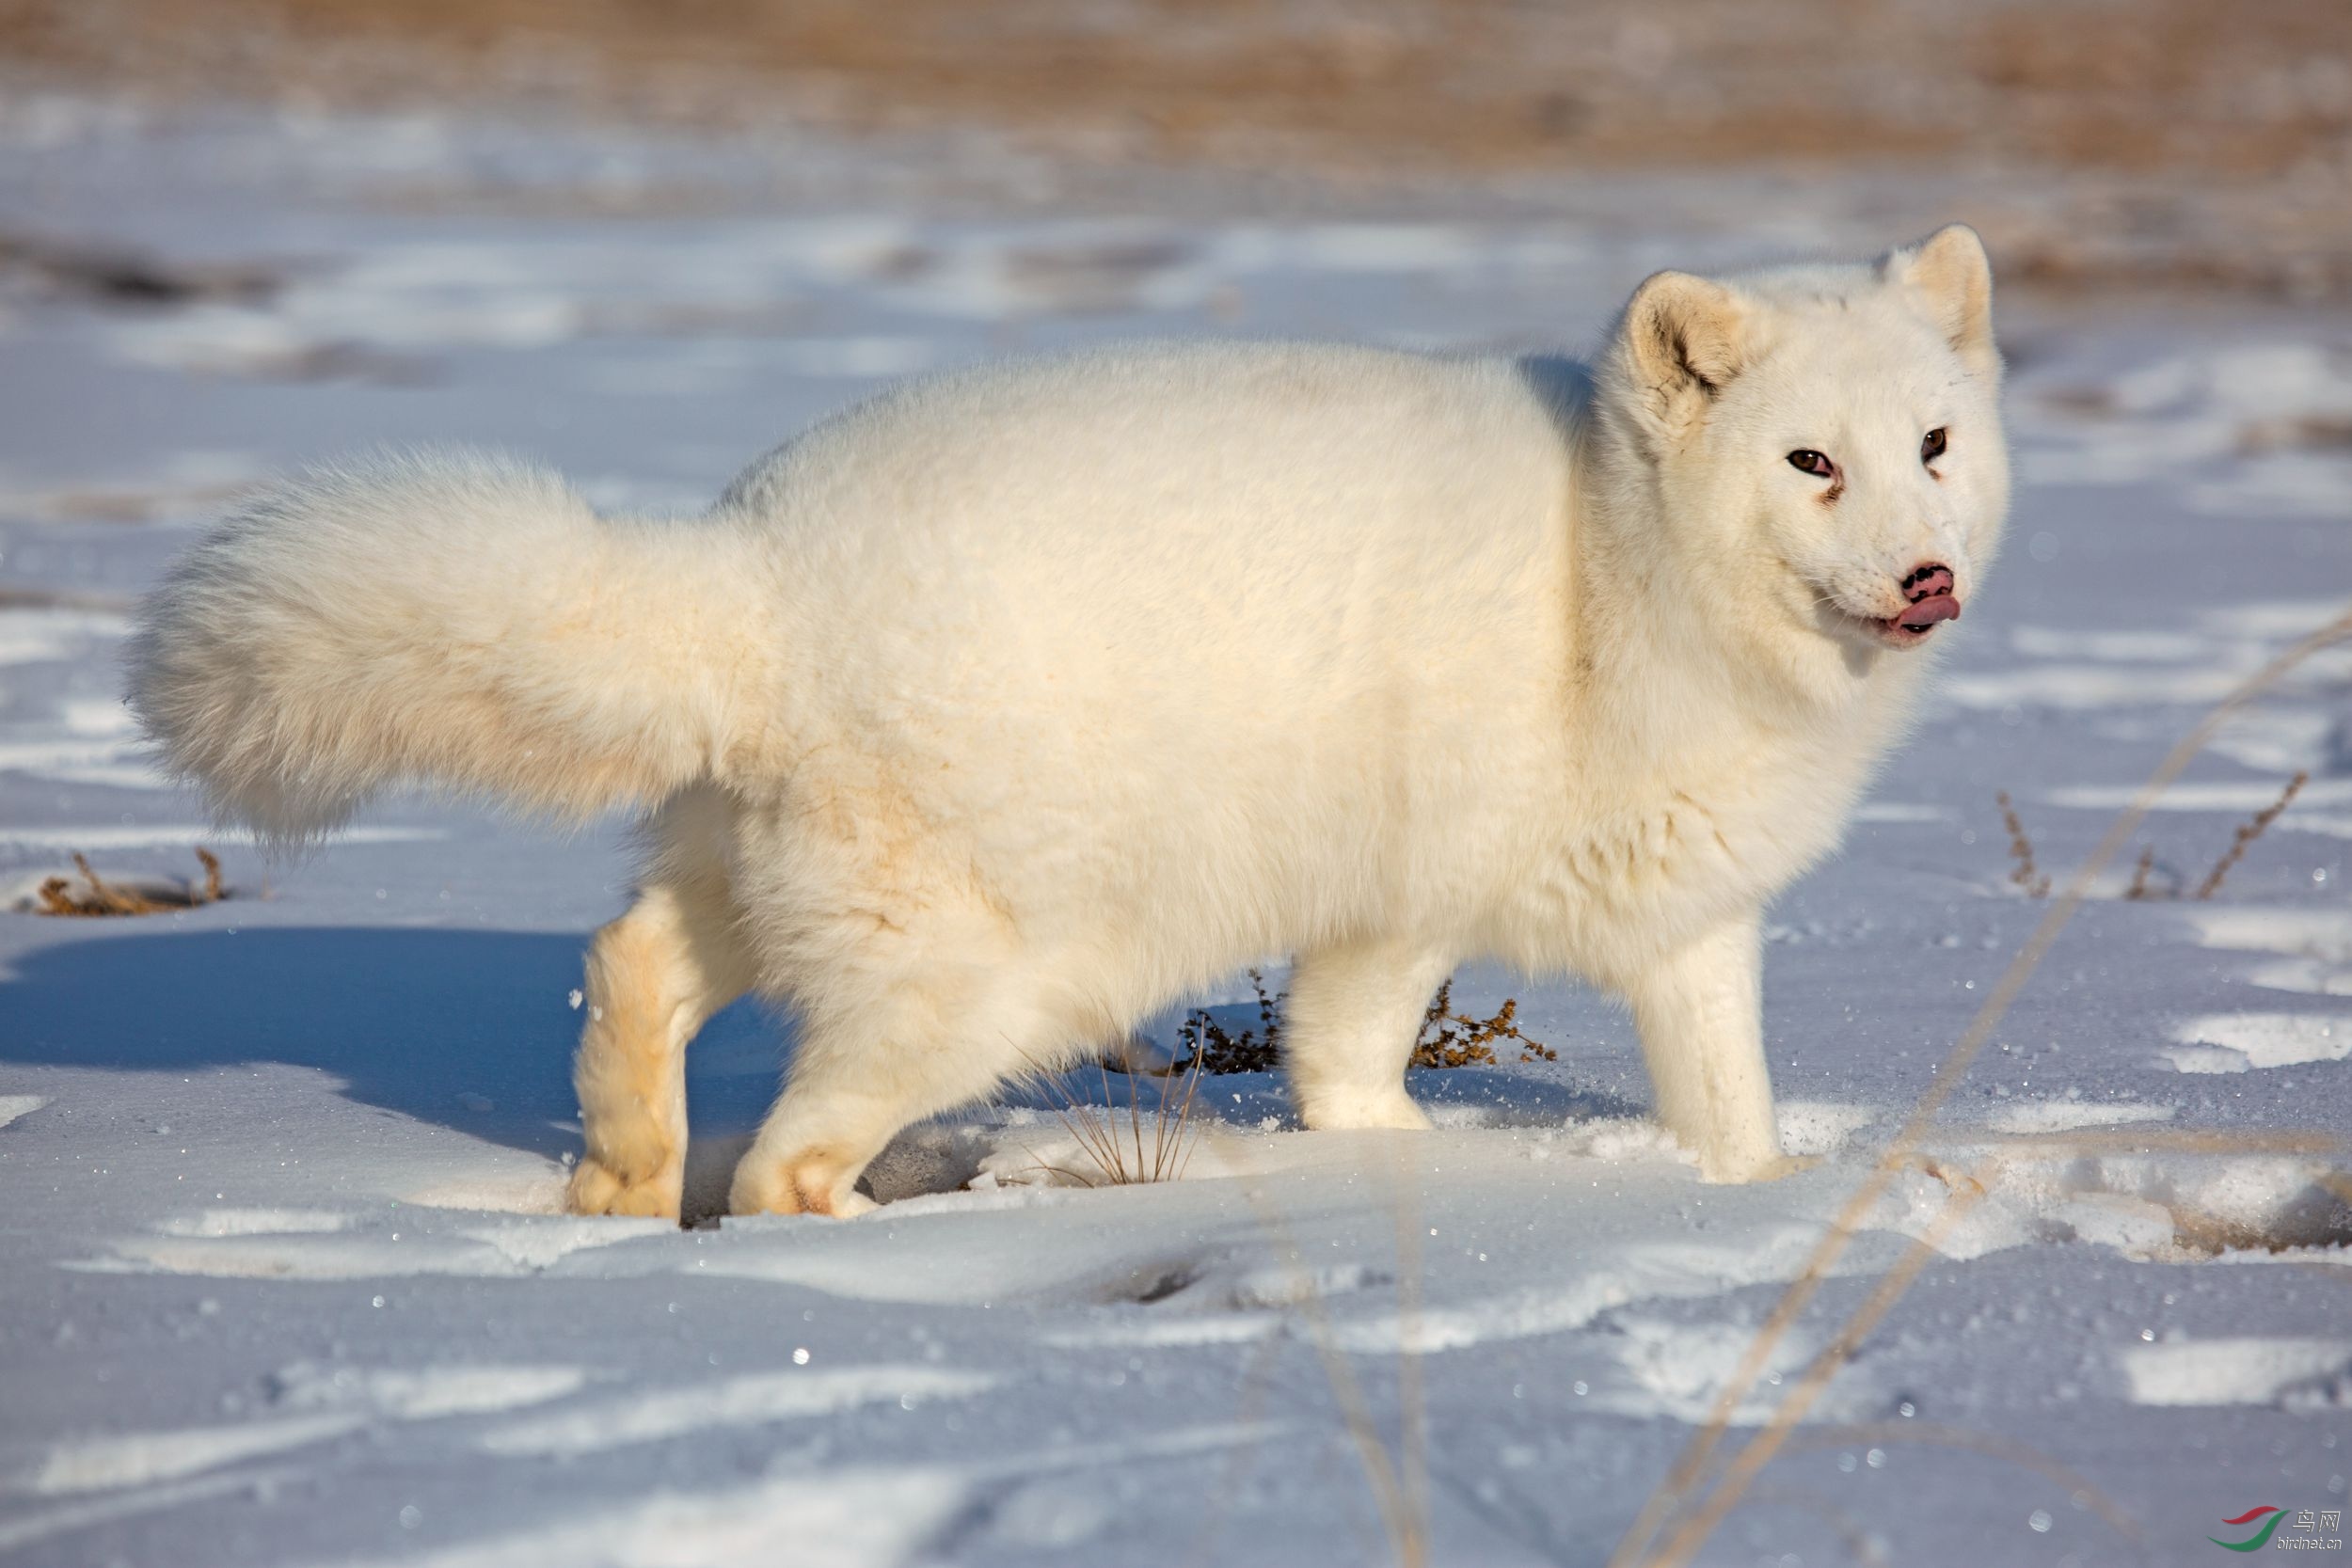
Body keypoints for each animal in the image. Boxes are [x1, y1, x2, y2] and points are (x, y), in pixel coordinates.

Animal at [128, 227, 2004, 1222]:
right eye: (1807, 461)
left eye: (1930, 444)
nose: (1926, 578)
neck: (1609, 575)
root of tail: (757, 563)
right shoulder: (1402, 890)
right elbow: (1346, 1049)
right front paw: (1410, 1176)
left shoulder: (1688, 912)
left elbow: (1730, 1099)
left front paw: (1757, 1206)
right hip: (991, 977)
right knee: (787, 1153)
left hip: (775, 875)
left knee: (633, 960)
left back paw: (623, 1184)